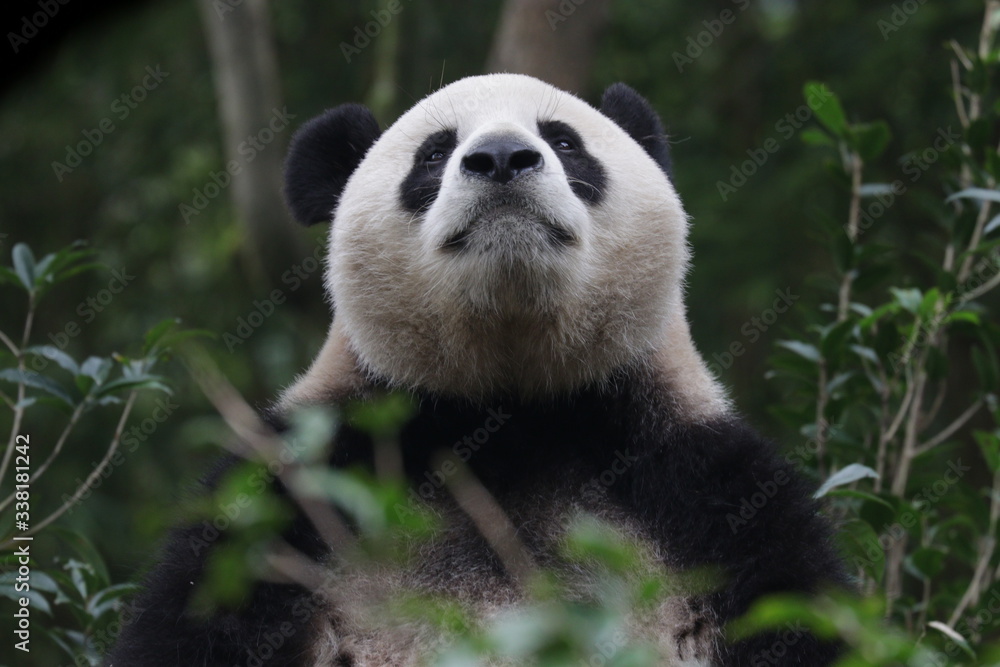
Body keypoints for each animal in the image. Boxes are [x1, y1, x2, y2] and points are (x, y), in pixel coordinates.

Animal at [108, 74, 848, 666]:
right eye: (434, 152)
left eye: (564, 140)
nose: (500, 159)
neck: (508, 405)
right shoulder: (295, 495)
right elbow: (198, 621)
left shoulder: (703, 492)